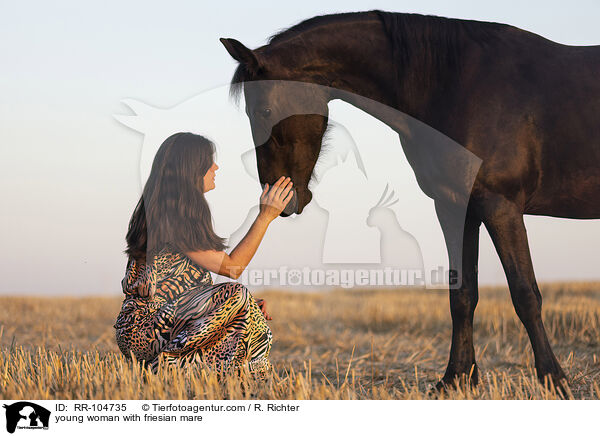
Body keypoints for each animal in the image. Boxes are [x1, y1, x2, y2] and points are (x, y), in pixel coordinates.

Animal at [220, 9, 600, 392]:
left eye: (264, 111)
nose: (279, 201)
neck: (456, 84)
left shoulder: (500, 206)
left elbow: (525, 293)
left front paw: (554, 379)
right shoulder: (455, 207)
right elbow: (462, 293)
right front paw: (456, 378)